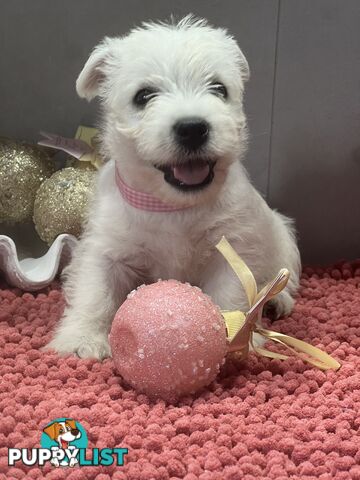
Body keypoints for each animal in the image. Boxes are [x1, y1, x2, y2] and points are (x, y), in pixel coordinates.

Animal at [47, 15, 300, 360]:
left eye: (219, 89)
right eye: (143, 96)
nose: (192, 128)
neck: (172, 205)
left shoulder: (232, 248)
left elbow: (230, 293)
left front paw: (234, 336)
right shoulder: (106, 248)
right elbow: (95, 291)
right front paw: (83, 338)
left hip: (282, 233)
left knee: (285, 272)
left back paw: (278, 299)